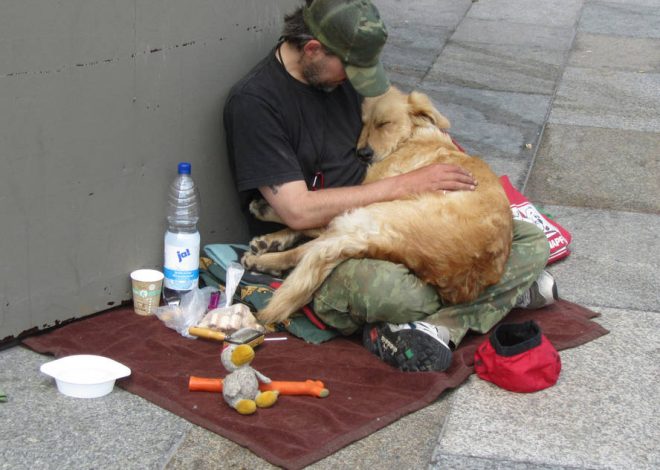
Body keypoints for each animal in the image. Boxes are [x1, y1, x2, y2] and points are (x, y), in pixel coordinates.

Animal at [245, 87, 512, 324]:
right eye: (364, 123)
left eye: (384, 124)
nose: (363, 153)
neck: (411, 135)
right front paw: (273, 237)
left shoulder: (371, 185)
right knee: (315, 240)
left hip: (373, 211)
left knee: (310, 244)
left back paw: (262, 255)